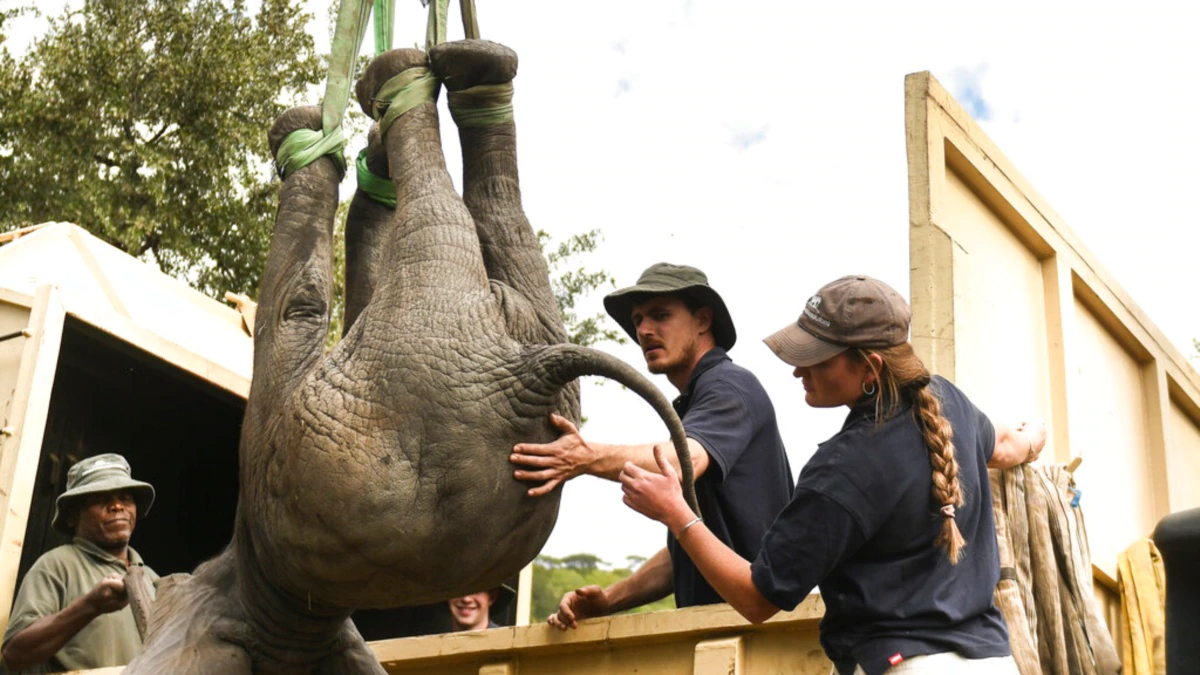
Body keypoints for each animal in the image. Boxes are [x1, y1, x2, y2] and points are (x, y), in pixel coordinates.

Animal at [123, 39, 700, 667]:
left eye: (175, 585)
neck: (298, 622)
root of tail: (525, 372)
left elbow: (299, 301)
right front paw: (370, 151)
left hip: (412, 334)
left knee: (364, 258)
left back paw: (367, 97)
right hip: (510, 323)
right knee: (500, 219)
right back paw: (476, 74)